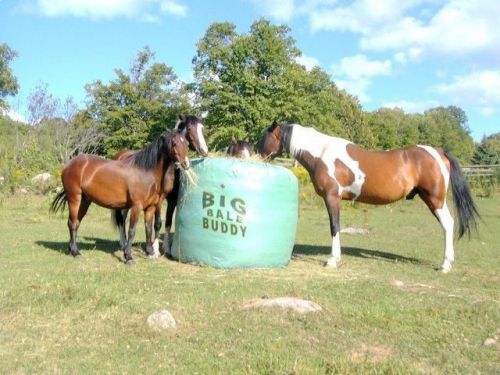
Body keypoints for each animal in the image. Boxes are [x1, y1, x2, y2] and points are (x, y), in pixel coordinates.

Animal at [50, 131, 190, 266]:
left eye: (187, 144)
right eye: (174, 144)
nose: (186, 164)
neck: (145, 172)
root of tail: (68, 165)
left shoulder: (150, 207)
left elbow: (148, 228)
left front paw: (150, 252)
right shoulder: (136, 206)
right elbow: (132, 230)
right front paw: (128, 257)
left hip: (85, 201)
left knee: (76, 222)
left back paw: (71, 249)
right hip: (75, 198)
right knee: (73, 223)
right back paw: (76, 252)